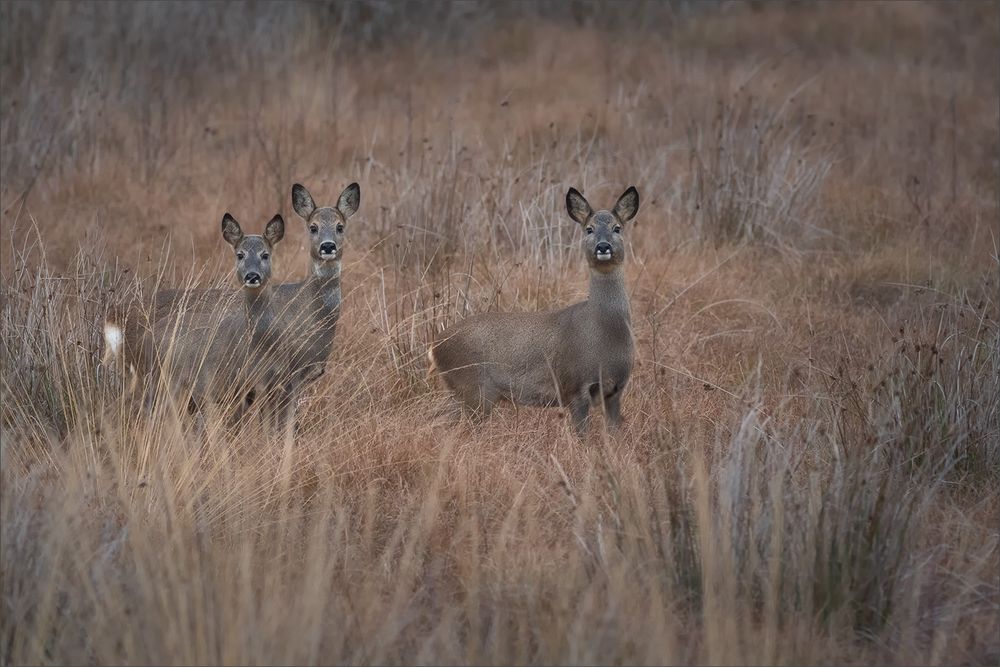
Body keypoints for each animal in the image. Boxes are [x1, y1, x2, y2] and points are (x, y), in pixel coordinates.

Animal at [426, 185, 636, 436]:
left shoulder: (615, 390)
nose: (603, 247)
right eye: (589, 229)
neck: (603, 330)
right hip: (473, 389)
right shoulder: (574, 386)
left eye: (617, 228)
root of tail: (434, 346)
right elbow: (583, 436)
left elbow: (614, 435)